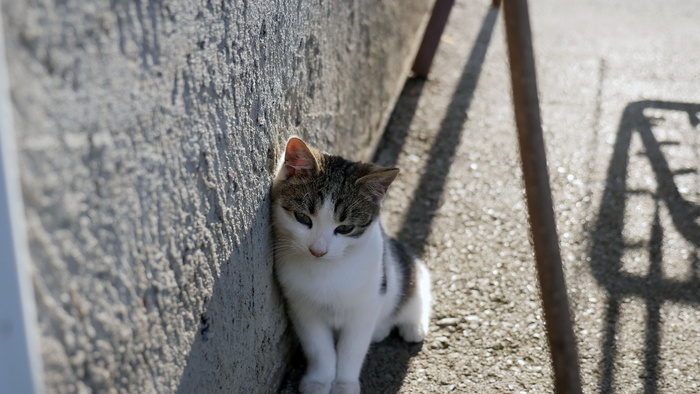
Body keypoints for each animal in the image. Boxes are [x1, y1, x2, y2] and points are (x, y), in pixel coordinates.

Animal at [270, 136, 430, 394]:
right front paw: (319, 380)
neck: (328, 269)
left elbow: (352, 349)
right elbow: (318, 347)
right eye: (302, 218)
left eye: (345, 228)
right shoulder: (302, 308)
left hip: (402, 271)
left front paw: (344, 384)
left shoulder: (366, 306)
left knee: (418, 283)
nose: (318, 250)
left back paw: (412, 325)